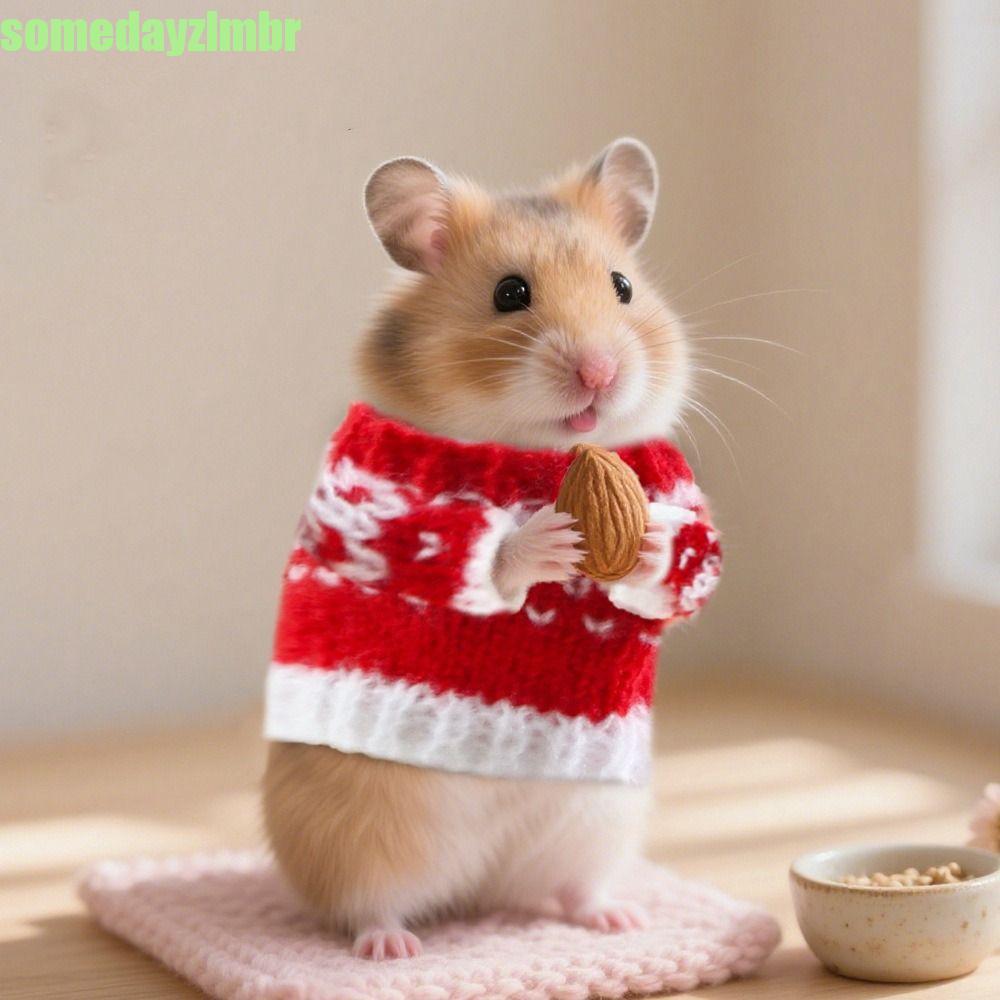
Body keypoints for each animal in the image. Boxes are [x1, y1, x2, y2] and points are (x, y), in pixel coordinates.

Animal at [263, 138, 692, 960]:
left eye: (623, 286)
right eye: (509, 293)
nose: (600, 372)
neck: (536, 449)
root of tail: (475, 889)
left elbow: (690, 566)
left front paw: (652, 535)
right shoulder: (371, 501)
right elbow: (459, 548)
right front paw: (549, 538)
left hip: (596, 823)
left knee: (570, 886)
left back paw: (618, 919)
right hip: (355, 826)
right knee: (363, 903)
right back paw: (392, 949)